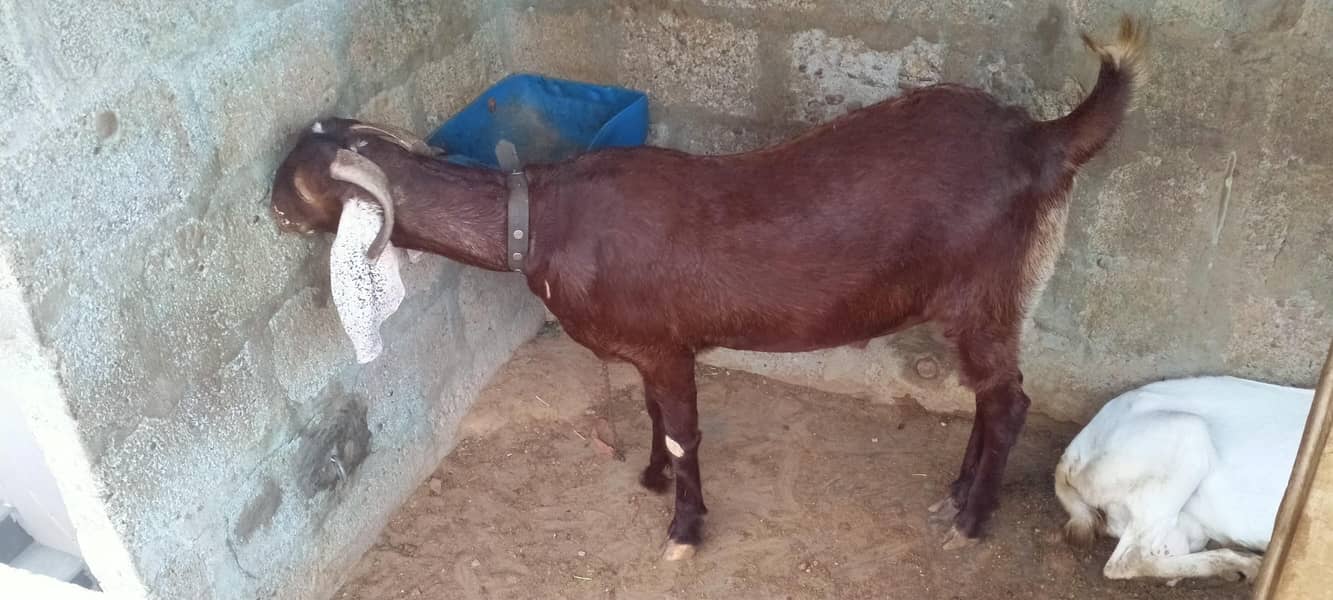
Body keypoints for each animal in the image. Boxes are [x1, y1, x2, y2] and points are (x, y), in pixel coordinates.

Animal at [269, 16, 1148, 559]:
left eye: (300, 181)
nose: (269, 209)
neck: (538, 219)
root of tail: (1044, 140)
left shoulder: (664, 345)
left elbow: (684, 432)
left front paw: (683, 529)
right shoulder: (655, 347)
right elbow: (655, 417)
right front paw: (650, 480)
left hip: (986, 292)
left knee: (1009, 401)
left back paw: (969, 516)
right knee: (986, 398)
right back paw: (957, 490)